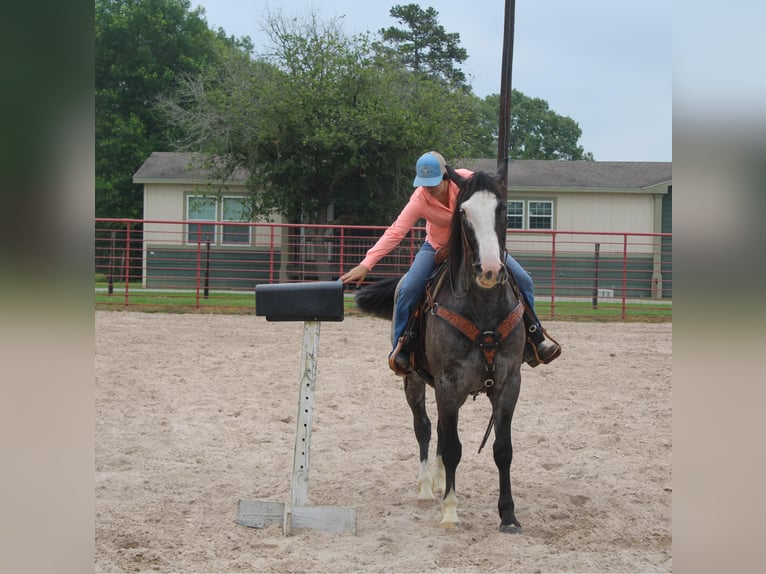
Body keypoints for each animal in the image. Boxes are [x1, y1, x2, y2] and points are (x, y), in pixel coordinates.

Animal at [356, 171, 528, 536]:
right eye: (463, 213)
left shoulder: (509, 383)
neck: (482, 309)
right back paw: (425, 487)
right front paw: (450, 512)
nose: (489, 270)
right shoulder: (449, 383)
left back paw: (436, 481)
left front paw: (508, 515)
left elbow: (502, 449)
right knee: (423, 426)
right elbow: (452, 449)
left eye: (503, 209)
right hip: (414, 381)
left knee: (440, 428)